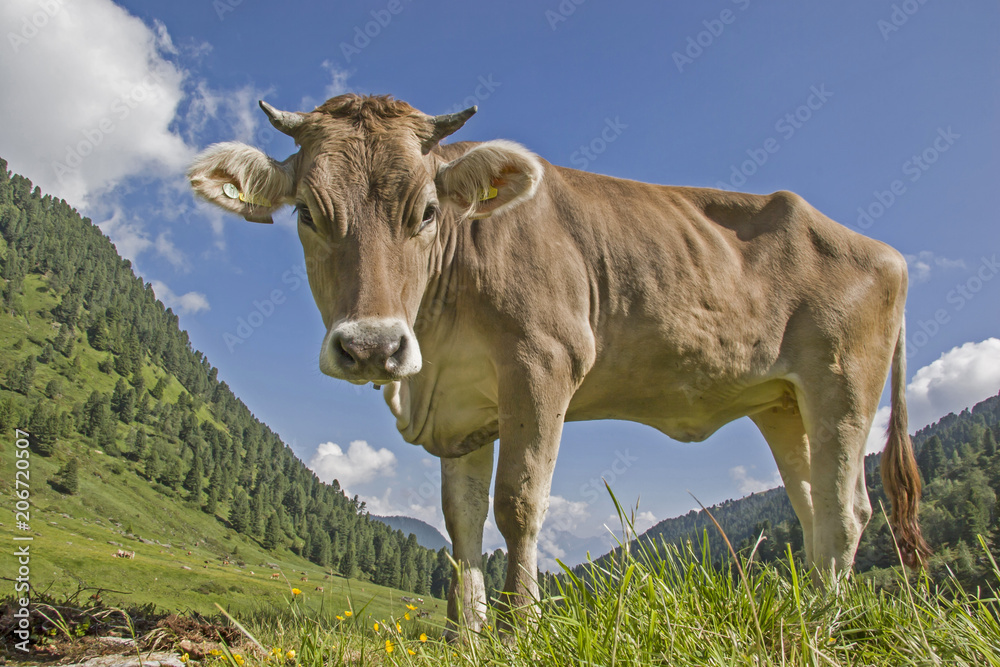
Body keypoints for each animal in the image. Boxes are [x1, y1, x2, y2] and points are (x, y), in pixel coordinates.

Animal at [189, 95, 928, 636]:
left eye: (425, 211)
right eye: (307, 214)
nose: (371, 345)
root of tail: (883, 250)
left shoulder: (542, 362)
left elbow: (518, 504)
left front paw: (521, 629)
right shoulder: (462, 406)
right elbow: (461, 520)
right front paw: (467, 637)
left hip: (843, 383)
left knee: (847, 508)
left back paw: (826, 628)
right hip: (782, 401)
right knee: (813, 509)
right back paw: (809, 616)